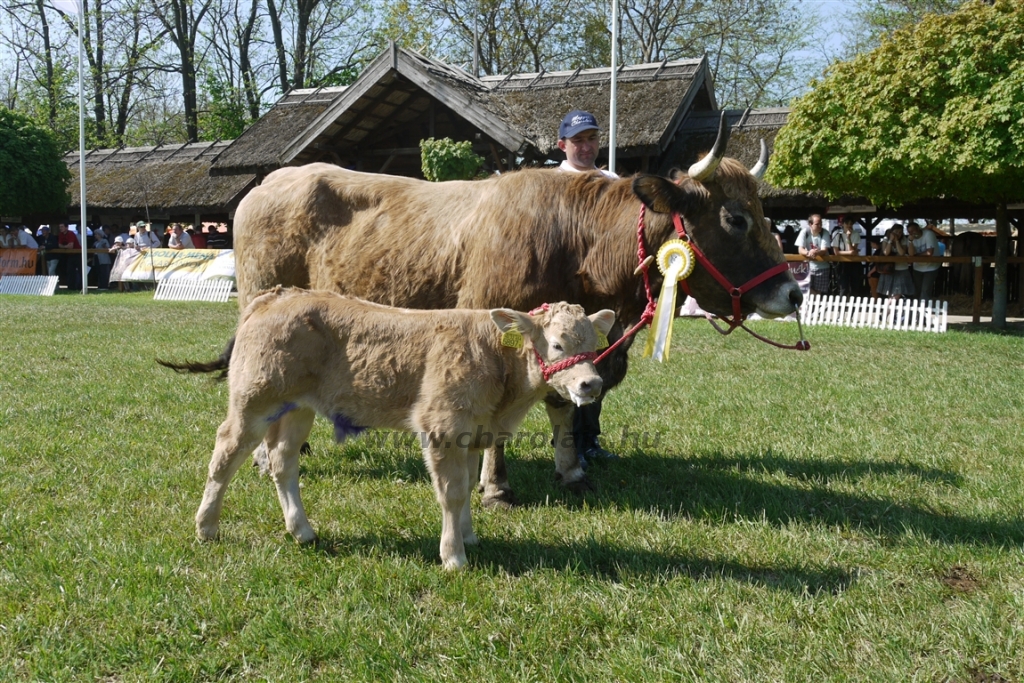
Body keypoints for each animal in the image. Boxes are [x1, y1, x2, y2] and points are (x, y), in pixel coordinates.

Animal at [158, 290, 606, 573]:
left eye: (595, 345)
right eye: (557, 344)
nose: (591, 384)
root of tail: (276, 296)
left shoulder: (471, 433)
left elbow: (464, 491)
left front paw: (469, 537)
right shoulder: (442, 426)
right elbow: (452, 493)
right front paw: (454, 557)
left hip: (298, 408)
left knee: (283, 463)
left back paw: (302, 531)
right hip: (253, 401)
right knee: (225, 454)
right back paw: (207, 527)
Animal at [232, 117, 798, 505]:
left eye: (765, 213)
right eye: (735, 217)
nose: (792, 293)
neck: (573, 238)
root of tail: (270, 183)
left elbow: (565, 402)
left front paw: (571, 470)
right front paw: (497, 486)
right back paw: (263, 456)